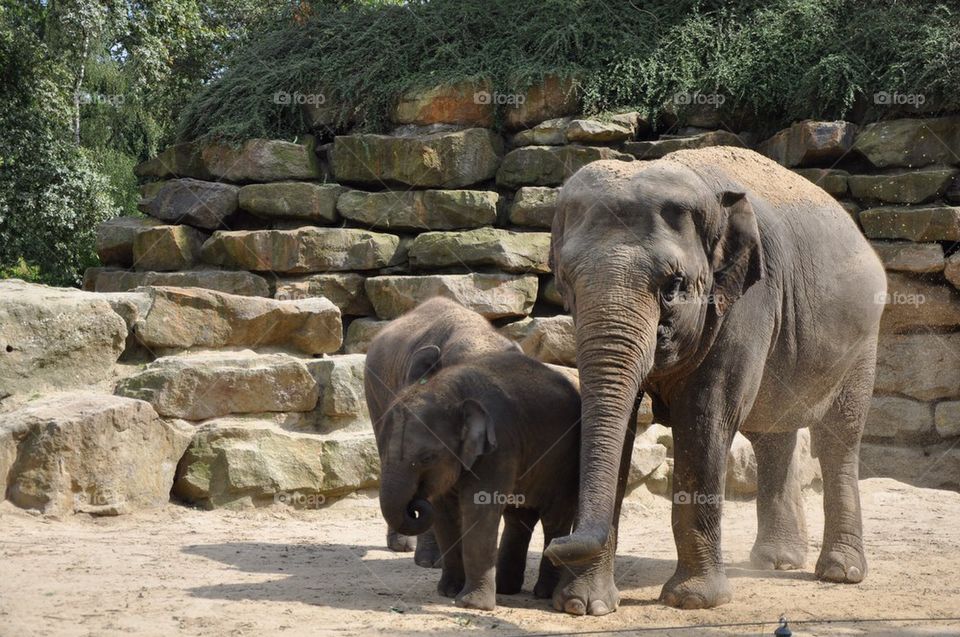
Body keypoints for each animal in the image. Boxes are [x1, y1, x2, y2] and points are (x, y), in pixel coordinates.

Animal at [376, 350, 581, 610]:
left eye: (427, 457)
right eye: (381, 450)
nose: (415, 505)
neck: (451, 391)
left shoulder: (499, 447)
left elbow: (479, 511)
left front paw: (471, 605)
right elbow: (444, 513)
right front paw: (448, 592)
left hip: (564, 466)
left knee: (555, 519)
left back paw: (543, 593)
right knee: (518, 518)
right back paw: (506, 589)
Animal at [543, 146, 886, 615]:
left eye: (674, 285)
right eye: (566, 281)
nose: (554, 546)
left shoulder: (745, 302)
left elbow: (705, 419)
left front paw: (694, 602)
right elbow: (623, 420)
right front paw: (584, 606)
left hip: (862, 340)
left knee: (839, 438)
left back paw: (839, 572)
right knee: (773, 434)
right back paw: (777, 561)